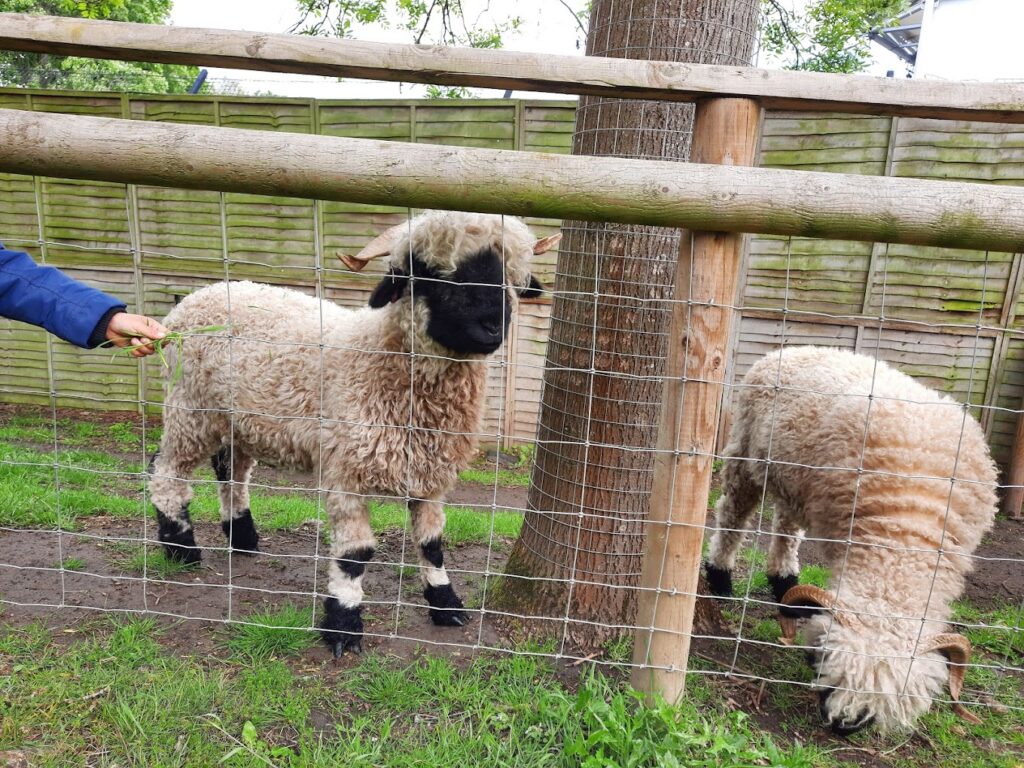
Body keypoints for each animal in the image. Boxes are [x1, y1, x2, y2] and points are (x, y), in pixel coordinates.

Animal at [148, 210, 560, 656]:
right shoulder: (346, 470)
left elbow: (432, 544)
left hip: (239, 419)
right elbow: (356, 555)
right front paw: (343, 624)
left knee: (230, 469)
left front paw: (446, 605)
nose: (491, 327)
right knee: (166, 471)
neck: (380, 355)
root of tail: (194, 298)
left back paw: (241, 536)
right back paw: (181, 547)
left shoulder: (429, 472)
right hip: (190, 407)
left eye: (510, 277)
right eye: (428, 274)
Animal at [705, 345, 997, 734]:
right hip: (745, 452)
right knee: (732, 514)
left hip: (793, 479)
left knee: (786, 527)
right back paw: (720, 577)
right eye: (833, 668)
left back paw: (784, 582)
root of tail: (794, 348)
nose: (844, 725)